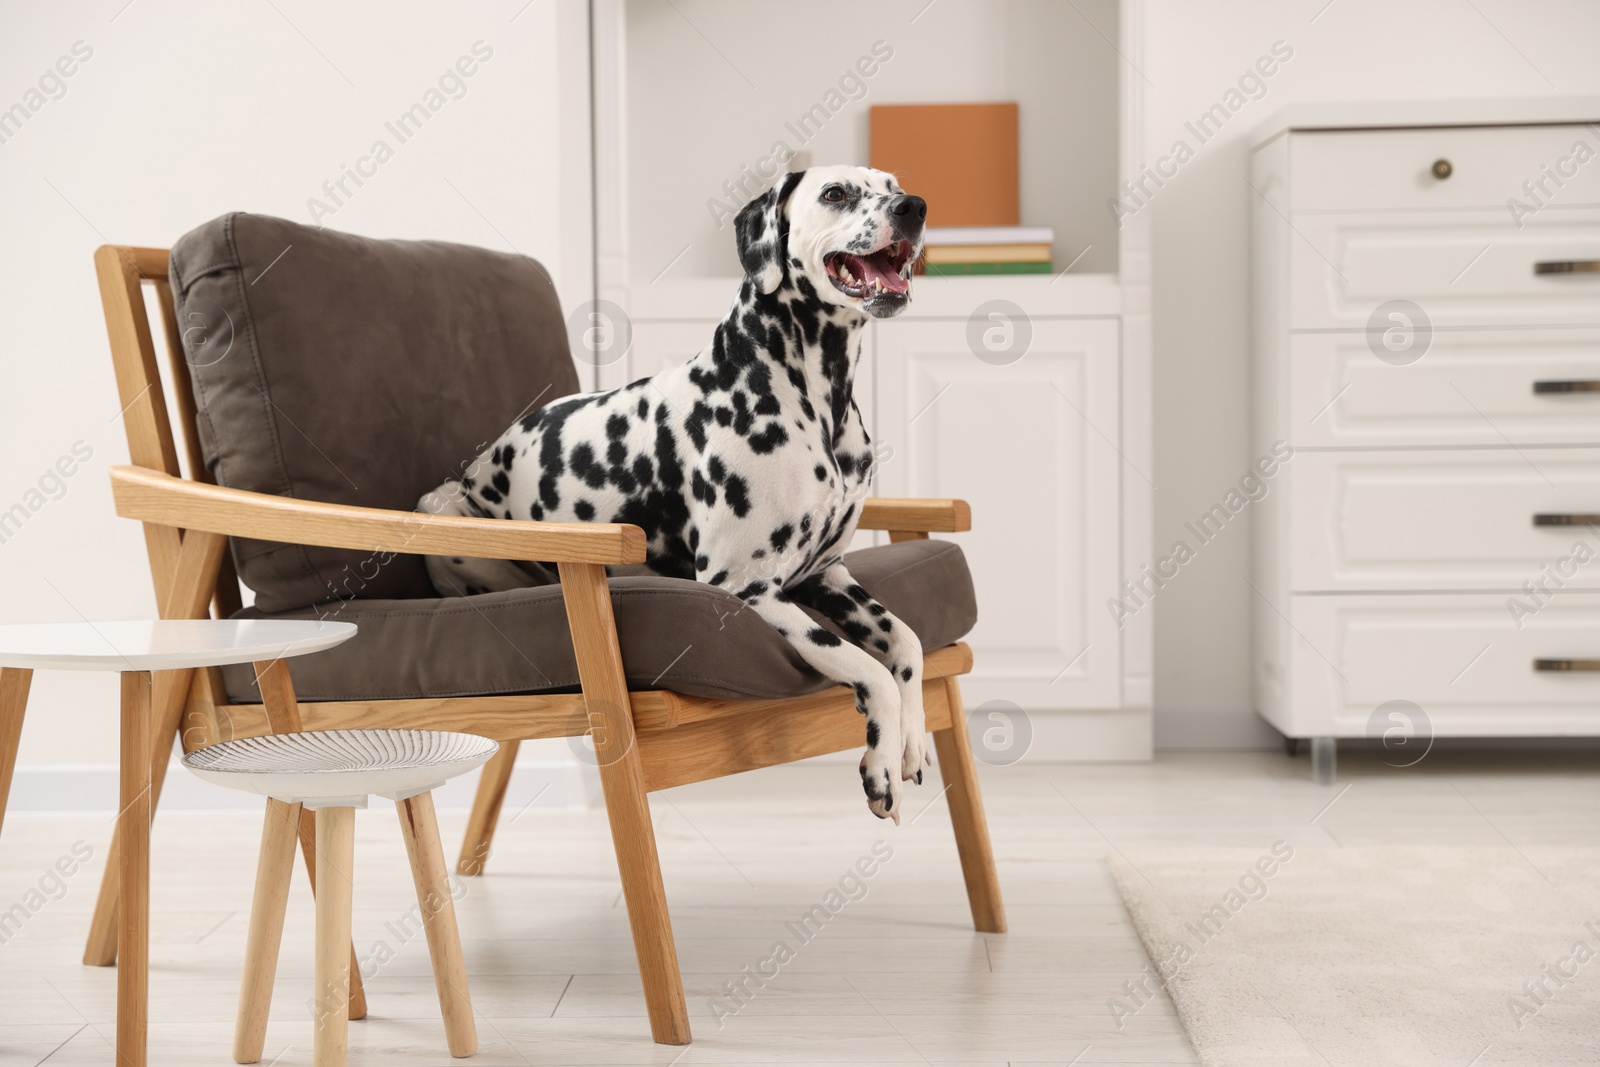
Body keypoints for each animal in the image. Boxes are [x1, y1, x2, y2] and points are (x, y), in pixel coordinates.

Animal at [419, 163, 934, 825]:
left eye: (892, 184)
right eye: (835, 193)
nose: (913, 207)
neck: (812, 398)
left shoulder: (828, 575)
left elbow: (907, 643)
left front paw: (912, 741)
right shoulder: (747, 587)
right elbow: (866, 666)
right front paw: (881, 763)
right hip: (443, 506)